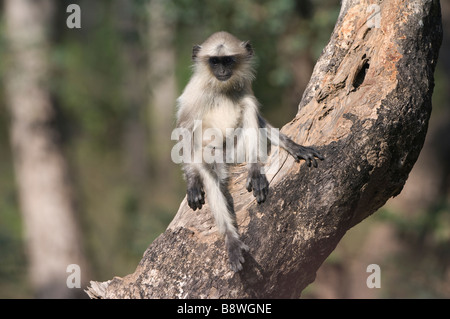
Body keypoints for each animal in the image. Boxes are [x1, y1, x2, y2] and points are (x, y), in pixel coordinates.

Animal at [176, 31, 324, 272]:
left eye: (228, 60)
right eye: (214, 61)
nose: (222, 71)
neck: (220, 88)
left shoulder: (243, 85)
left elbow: (258, 116)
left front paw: (294, 146)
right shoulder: (193, 94)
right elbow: (185, 132)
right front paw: (192, 181)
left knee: (248, 105)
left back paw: (254, 170)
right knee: (210, 167)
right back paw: (231, 238)